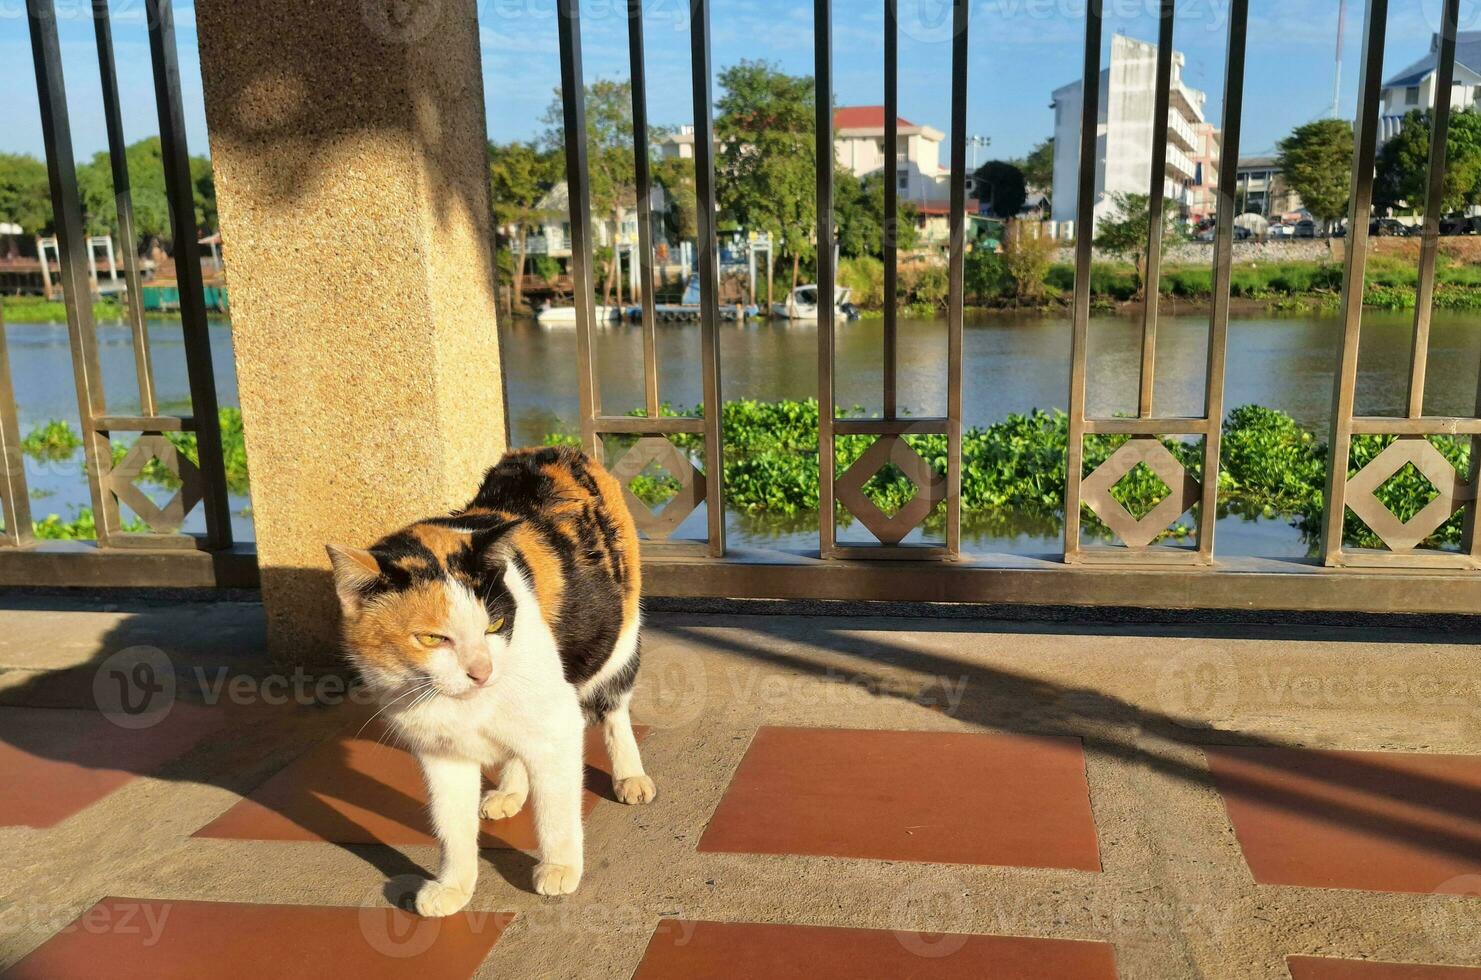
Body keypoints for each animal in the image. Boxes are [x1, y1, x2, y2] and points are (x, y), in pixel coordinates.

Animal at [330, 444, 654, 911]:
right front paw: (453, 887)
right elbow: (451, 824)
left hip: (620, 639)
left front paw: (559, 868)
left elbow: (557, 807)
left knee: (614, 708)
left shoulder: (558, 723)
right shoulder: (439, 751)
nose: (482, 671)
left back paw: (629, 775)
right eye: (432, 637)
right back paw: (509, 792)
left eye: (494, 624)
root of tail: (558, 449)